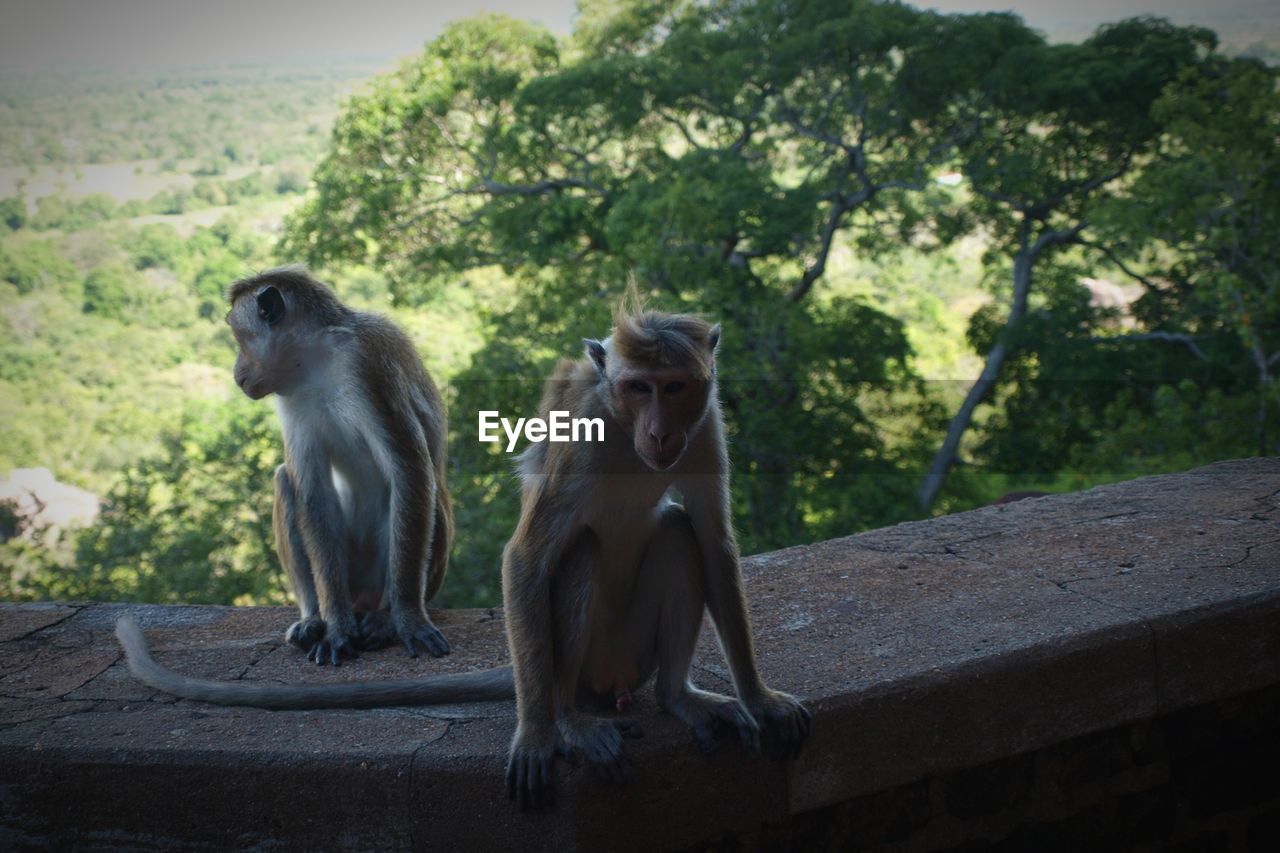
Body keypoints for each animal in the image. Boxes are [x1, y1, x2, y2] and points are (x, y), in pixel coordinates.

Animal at [225, 262, 450, 660]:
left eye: (240, 339)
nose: (236, 374)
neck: (316, 360)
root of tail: (362, 598)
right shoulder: (291, 397)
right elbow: (311, 490)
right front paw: (336, 627)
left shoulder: (366, 362)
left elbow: (408, 469)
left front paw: (407, 618)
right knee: (285, 480)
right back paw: (315, 617)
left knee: (427, 492)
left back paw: (384, 617)